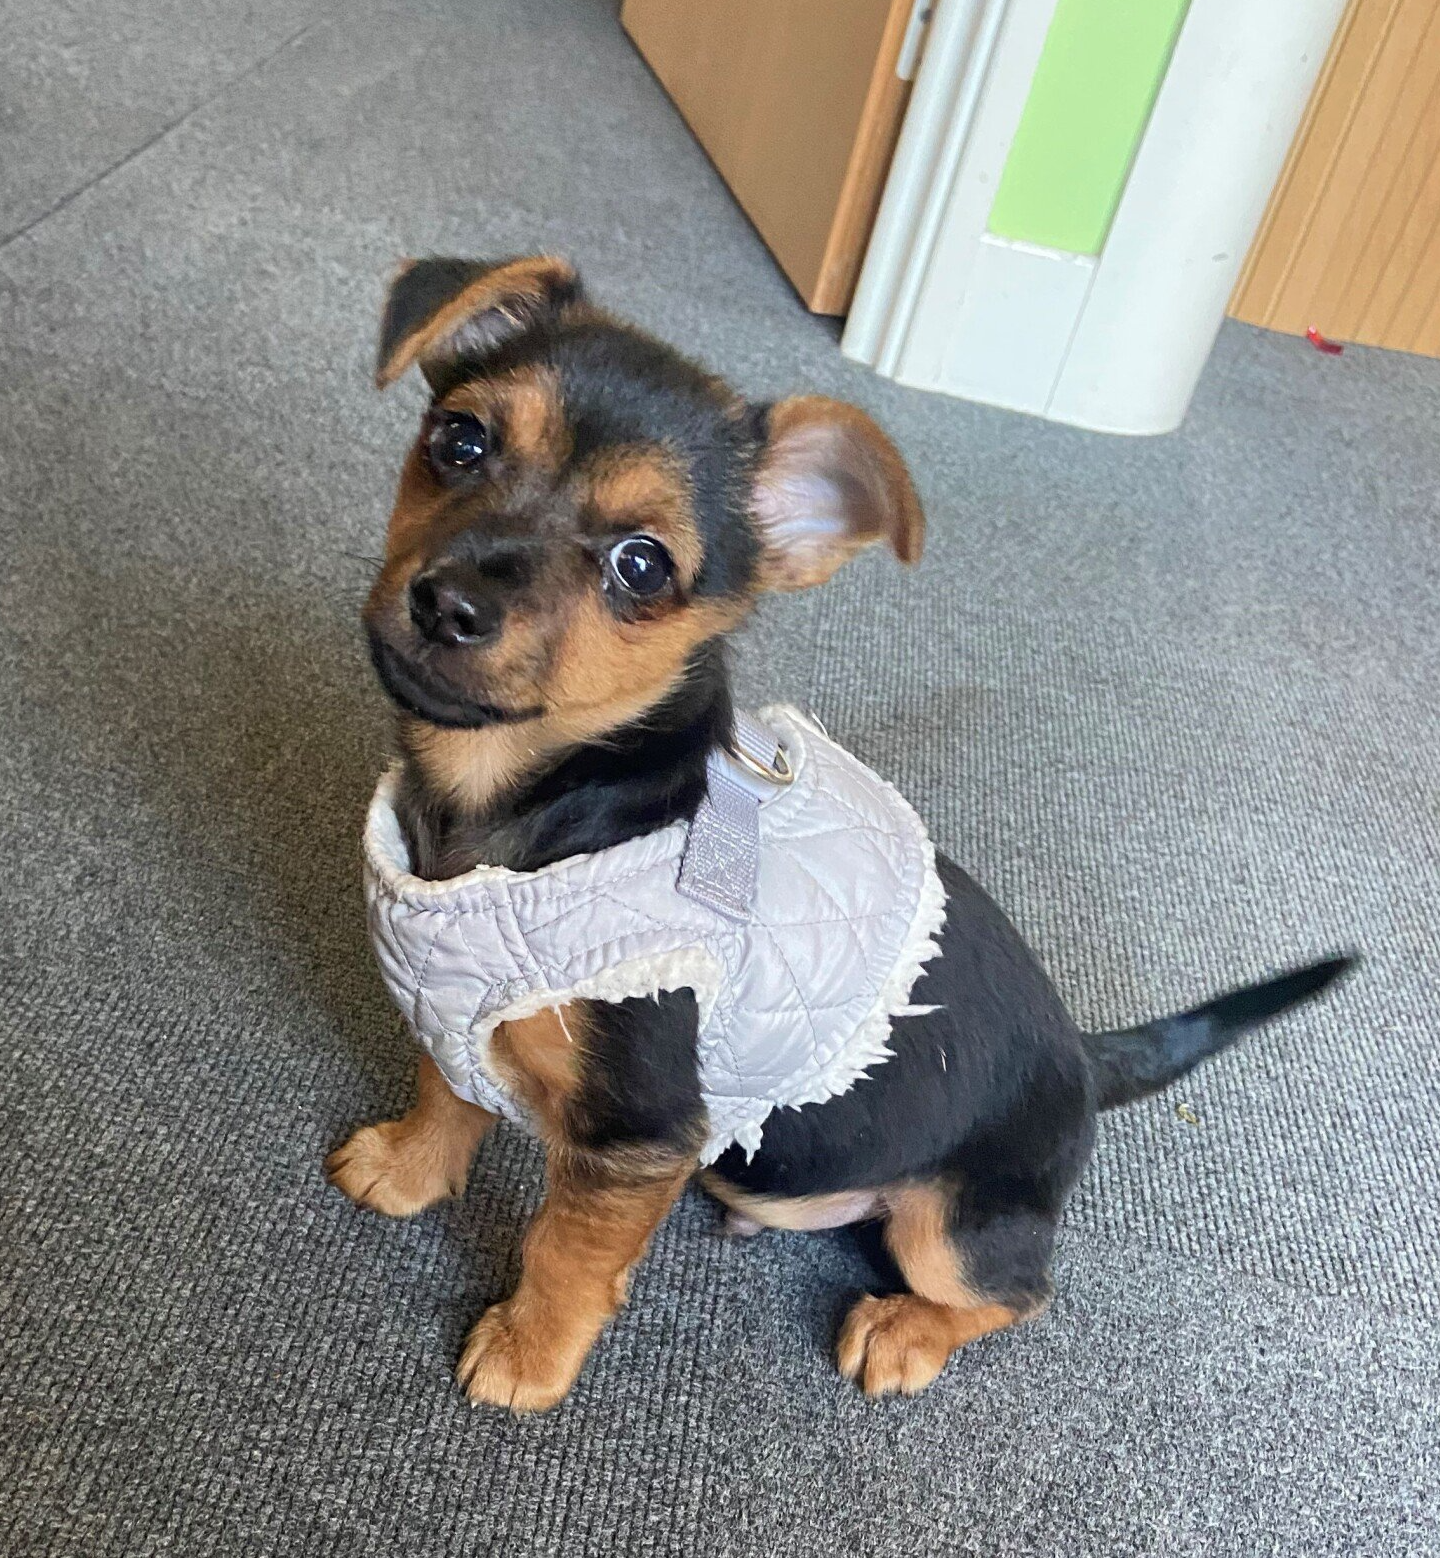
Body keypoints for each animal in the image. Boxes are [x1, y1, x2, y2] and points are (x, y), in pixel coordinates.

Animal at [325, 255, 1352, 1414]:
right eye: (460, 440)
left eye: (642, 566)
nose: (448, 602)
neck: (530, 796)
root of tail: (1088, 1059)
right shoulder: (453, 1001)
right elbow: (445, 1091)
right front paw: (407, 1169)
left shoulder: (636, 1136)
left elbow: (565, 1252)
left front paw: (527, 1356)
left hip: (952, 1223)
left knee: (1017, 1291)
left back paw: (905, 1332)